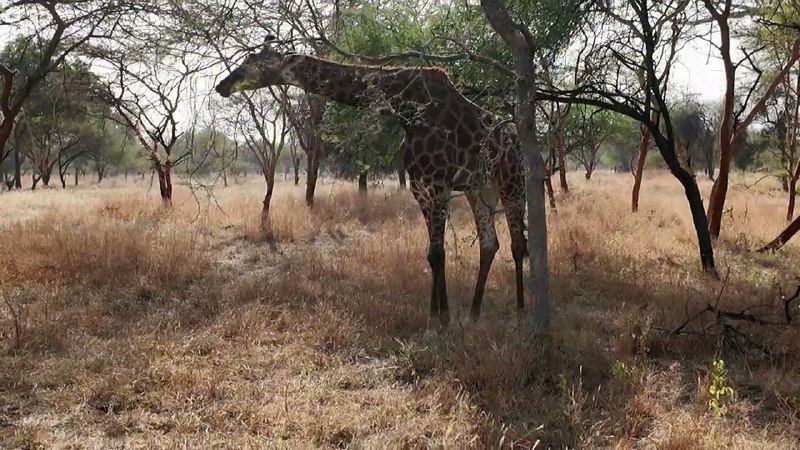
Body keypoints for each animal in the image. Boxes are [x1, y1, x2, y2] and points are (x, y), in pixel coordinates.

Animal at [212, 43, 528, 330]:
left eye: (252, 62)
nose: (221, 85)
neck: (404, 107)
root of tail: (516, 137)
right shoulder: (420, 185)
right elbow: (433, 253)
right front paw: (441, 317)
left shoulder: (438, 182)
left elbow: (438, 252)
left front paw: (437, 322)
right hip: (480, 188)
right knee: (490, 243)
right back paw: (474, 313)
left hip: (512, 181)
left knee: (518, 244)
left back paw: (521, 314)